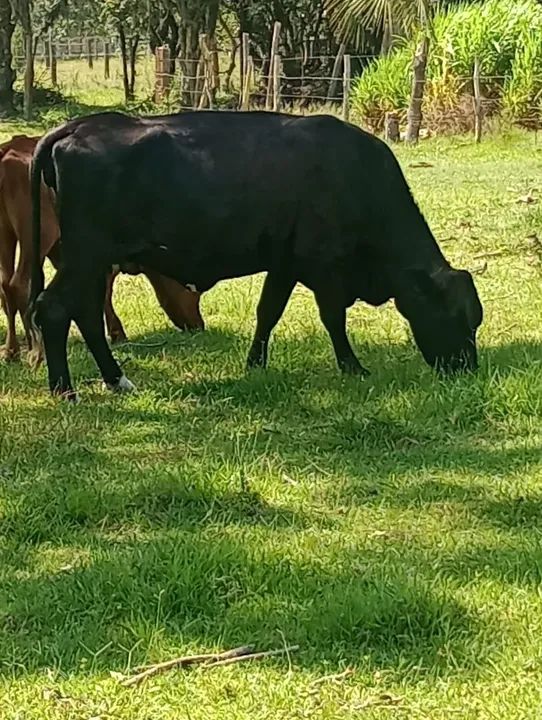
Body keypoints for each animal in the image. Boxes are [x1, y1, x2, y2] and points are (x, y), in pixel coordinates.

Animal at [0, 134, 204, 363]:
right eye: (192, 290)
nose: (199, 325)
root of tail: (9, 148)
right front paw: (117, 332)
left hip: (5, 234)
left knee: (5, 286)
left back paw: (12, 351)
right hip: (39, 235)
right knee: (20, 284)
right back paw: (37, 350)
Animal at [28, 111, 483, 400]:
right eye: (456, 317)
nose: (468, 369)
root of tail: (78, 126)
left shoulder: (284, 264)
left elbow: (268, 312)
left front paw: (255, 364)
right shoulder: (325, 266)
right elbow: (333, 320)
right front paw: (353, 366)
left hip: (92, 260)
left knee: (85, 312)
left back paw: (116, 380)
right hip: (87, 255)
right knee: (54, 307)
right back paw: (65, 390)